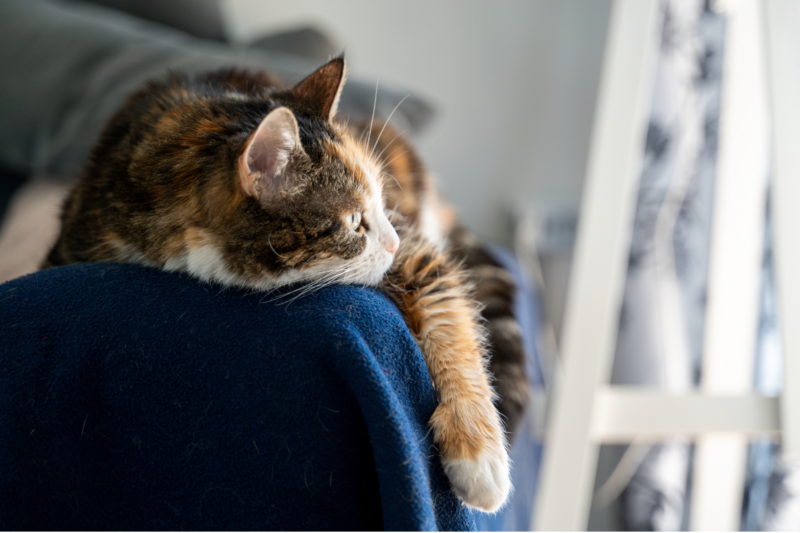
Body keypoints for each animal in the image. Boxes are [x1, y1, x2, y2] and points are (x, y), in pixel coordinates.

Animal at [43, 56, 520, 512]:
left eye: (382, 203)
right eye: (353, 221)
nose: (393, 240)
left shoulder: (414, 249)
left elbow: (445, 306)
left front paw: (478, 457)